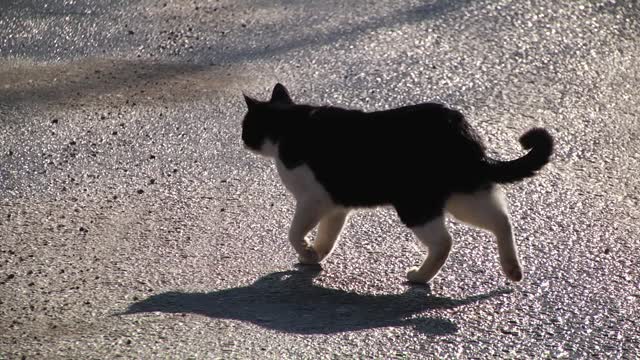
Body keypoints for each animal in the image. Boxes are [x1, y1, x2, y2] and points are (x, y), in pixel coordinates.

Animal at [242, 84, 552, 284]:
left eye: (245, 127)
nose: (241, 140)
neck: (288, 126)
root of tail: (462, 130)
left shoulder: (312, 200)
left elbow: (294, 233)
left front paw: (306, 251)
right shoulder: (335, 206)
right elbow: (328, 236)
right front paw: (314, 255)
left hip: (416, 206)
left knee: (445, 242)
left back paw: (419, 277)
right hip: (465, 196)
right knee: (502, 220)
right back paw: (512, 269)